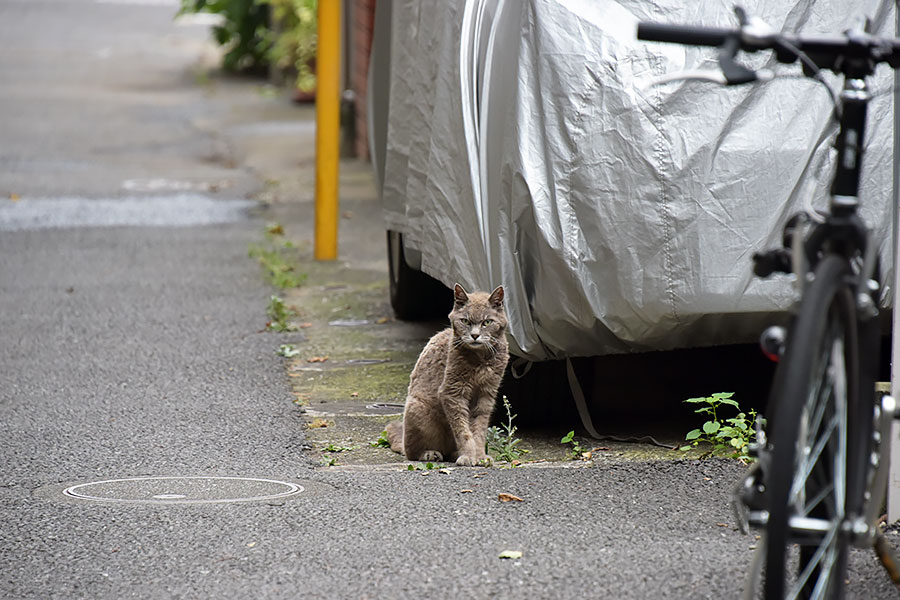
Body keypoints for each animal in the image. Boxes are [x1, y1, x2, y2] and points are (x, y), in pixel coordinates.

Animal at [386, 284, 510, 466]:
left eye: (487, 322)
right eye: (465, 321)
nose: (474, 335)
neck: (480, 359)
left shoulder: (486, 395)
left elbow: (479, 430)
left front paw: (480, 456)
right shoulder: (453, 392)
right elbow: (463, 431)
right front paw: (468, 456)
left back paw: (454, 454)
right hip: (418, 410)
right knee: (411, 452)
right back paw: (430, 454)